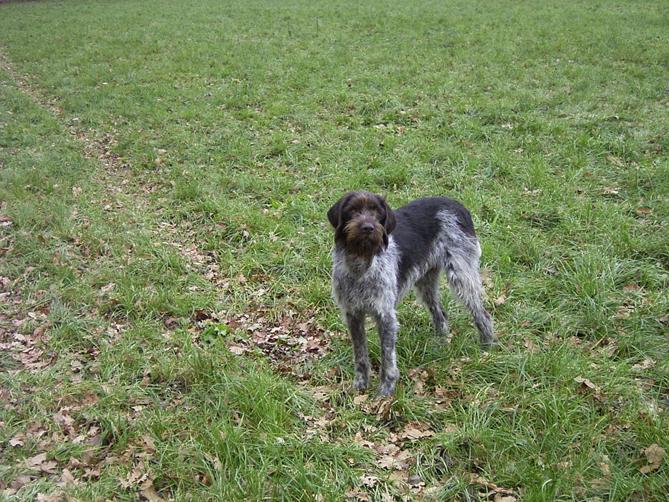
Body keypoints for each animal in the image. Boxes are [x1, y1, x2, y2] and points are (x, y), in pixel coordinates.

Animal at [328, 192, 496, 396]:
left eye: (376, 212)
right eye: (352, 210)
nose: (368, 227)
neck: (361, 263)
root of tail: (457, 204)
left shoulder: (385, 316)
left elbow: (387, 358)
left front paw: (385, 391)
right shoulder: (353, 314)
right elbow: (360, 355)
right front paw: (360, 386)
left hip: (462, 276)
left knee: (482, 314)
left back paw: (487, 349)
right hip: (426, 282)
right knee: (440, 314)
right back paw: (441, 345)